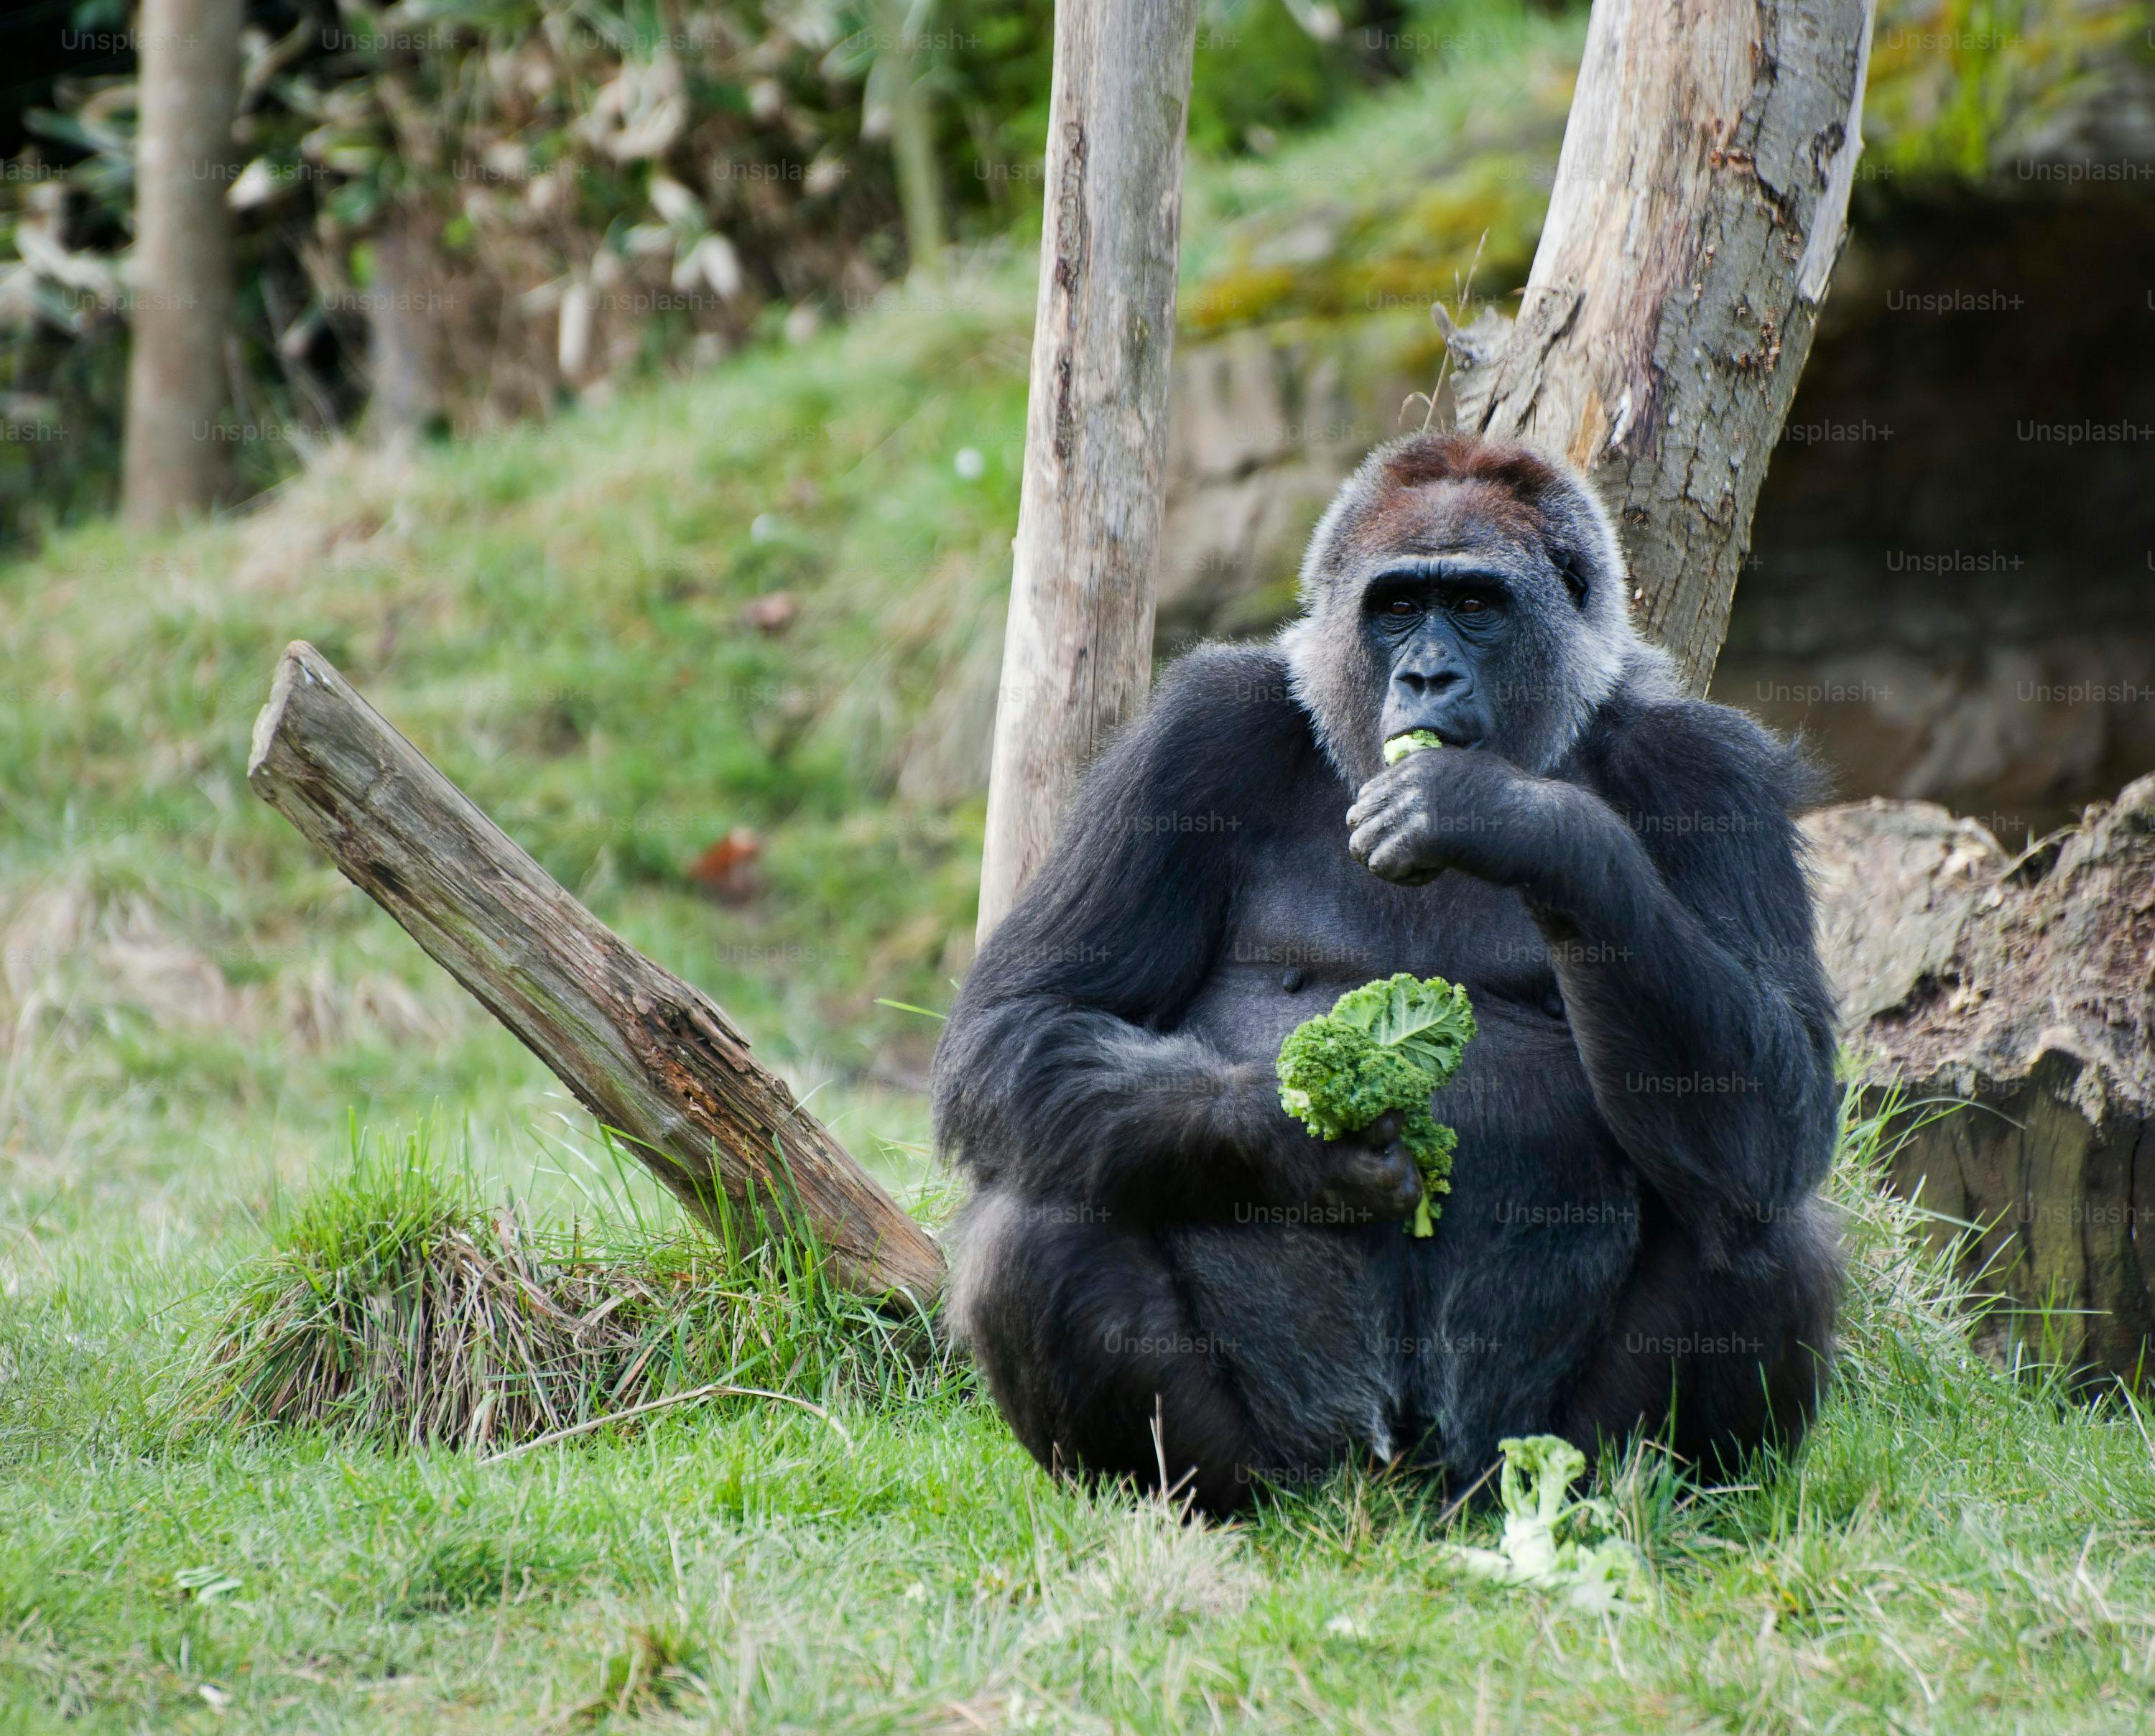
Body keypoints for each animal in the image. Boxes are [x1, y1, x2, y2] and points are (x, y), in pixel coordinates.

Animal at [931, 432, 1842, 1517]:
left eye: (1478, 606)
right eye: (1399, 605)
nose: (1428, 676)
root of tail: (1397, 1482)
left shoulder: (1716, 769)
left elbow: (1783, 1098)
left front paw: (1528, 824)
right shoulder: (1193, 734)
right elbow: (1025, 1017)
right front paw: (1289, 1137)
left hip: (1516, 1456)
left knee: (1757, 1221)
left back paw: (1642, 1501)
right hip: (1298, 1465)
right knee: (1045, 1203)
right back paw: (1180, 1499)